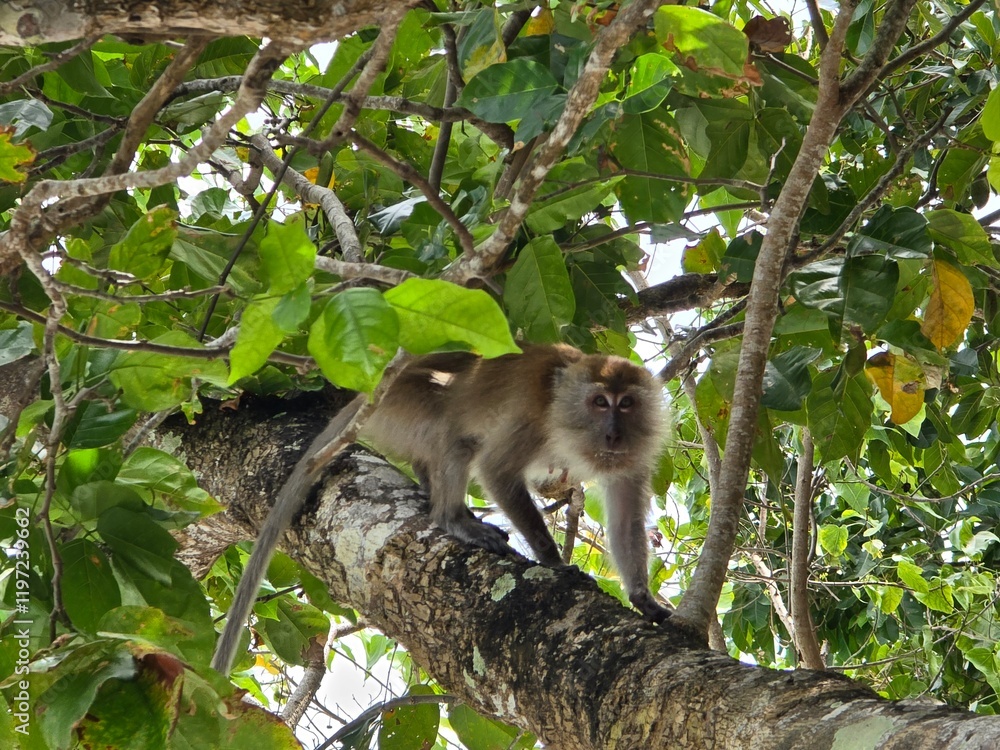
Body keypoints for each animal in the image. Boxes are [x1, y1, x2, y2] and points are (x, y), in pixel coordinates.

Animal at [211, 343, 669, 675]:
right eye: (599, 402)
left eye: (626, 404)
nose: (613, 433)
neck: (567, 420)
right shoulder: (533, 423)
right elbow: (496, 468)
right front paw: (554, 561)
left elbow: (626, 514)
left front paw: (643, 598)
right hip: (401, 406)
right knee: (455, 432)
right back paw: (451, 516)